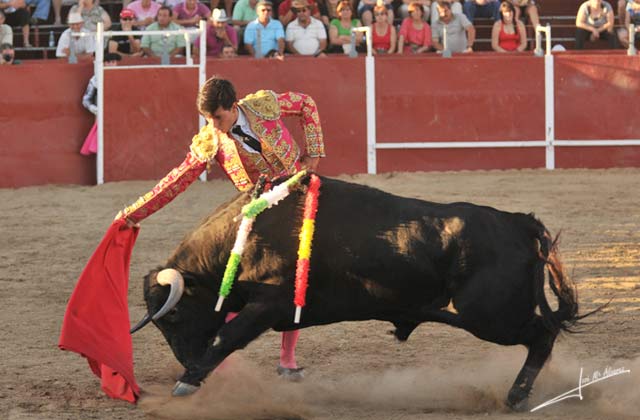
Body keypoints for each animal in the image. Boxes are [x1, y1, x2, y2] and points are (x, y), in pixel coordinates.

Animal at [134, 173, 580, 406]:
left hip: (489, 315)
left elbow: (226, 335)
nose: (187, 360)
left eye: (172, 317)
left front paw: (187, 383)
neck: (243, 235)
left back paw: (516, 395)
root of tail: (517, 221)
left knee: (542, 334)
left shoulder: (269, 303)